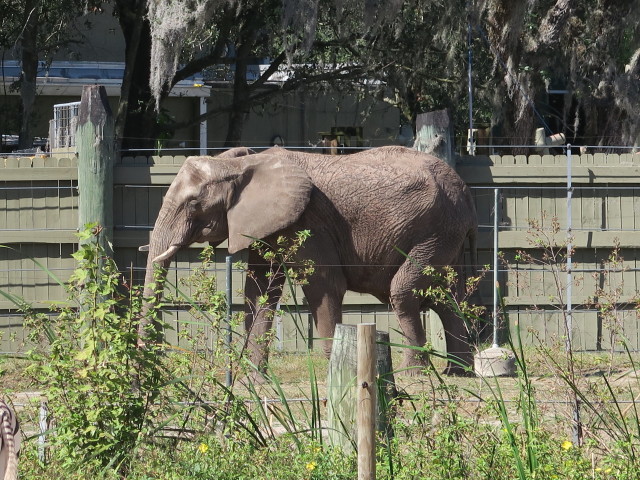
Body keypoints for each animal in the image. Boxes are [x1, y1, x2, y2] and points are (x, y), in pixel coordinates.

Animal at [139, 145, 478, 375]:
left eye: (193, 203)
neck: (242, 163)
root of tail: (465, 190)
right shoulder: (268, 225)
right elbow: (259, 291)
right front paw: (254, 378)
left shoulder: (310, 221)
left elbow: (323, 285)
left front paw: (335, 371)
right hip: (445, 234)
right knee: (442, 297)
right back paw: (458, 372)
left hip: (437, 229)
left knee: (405, 291)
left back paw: (415, 373)